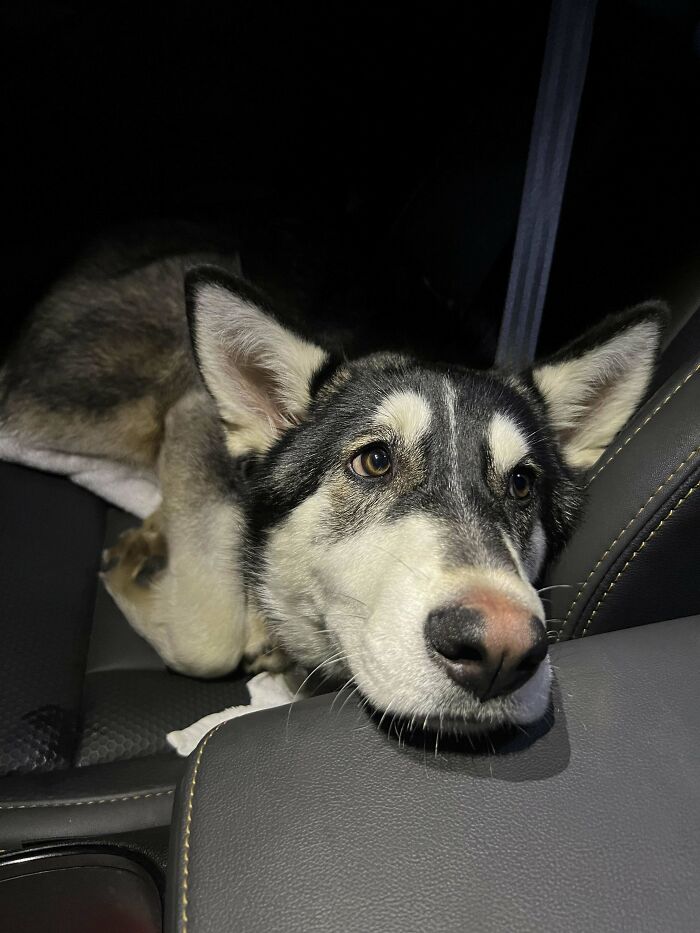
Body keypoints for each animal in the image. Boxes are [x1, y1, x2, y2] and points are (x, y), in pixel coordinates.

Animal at [0, 248, 668, 736]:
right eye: (374, 461)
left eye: (523, 483)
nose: (502, 650)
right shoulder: (194, 409)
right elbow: (206, 636)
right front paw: (137, 559)